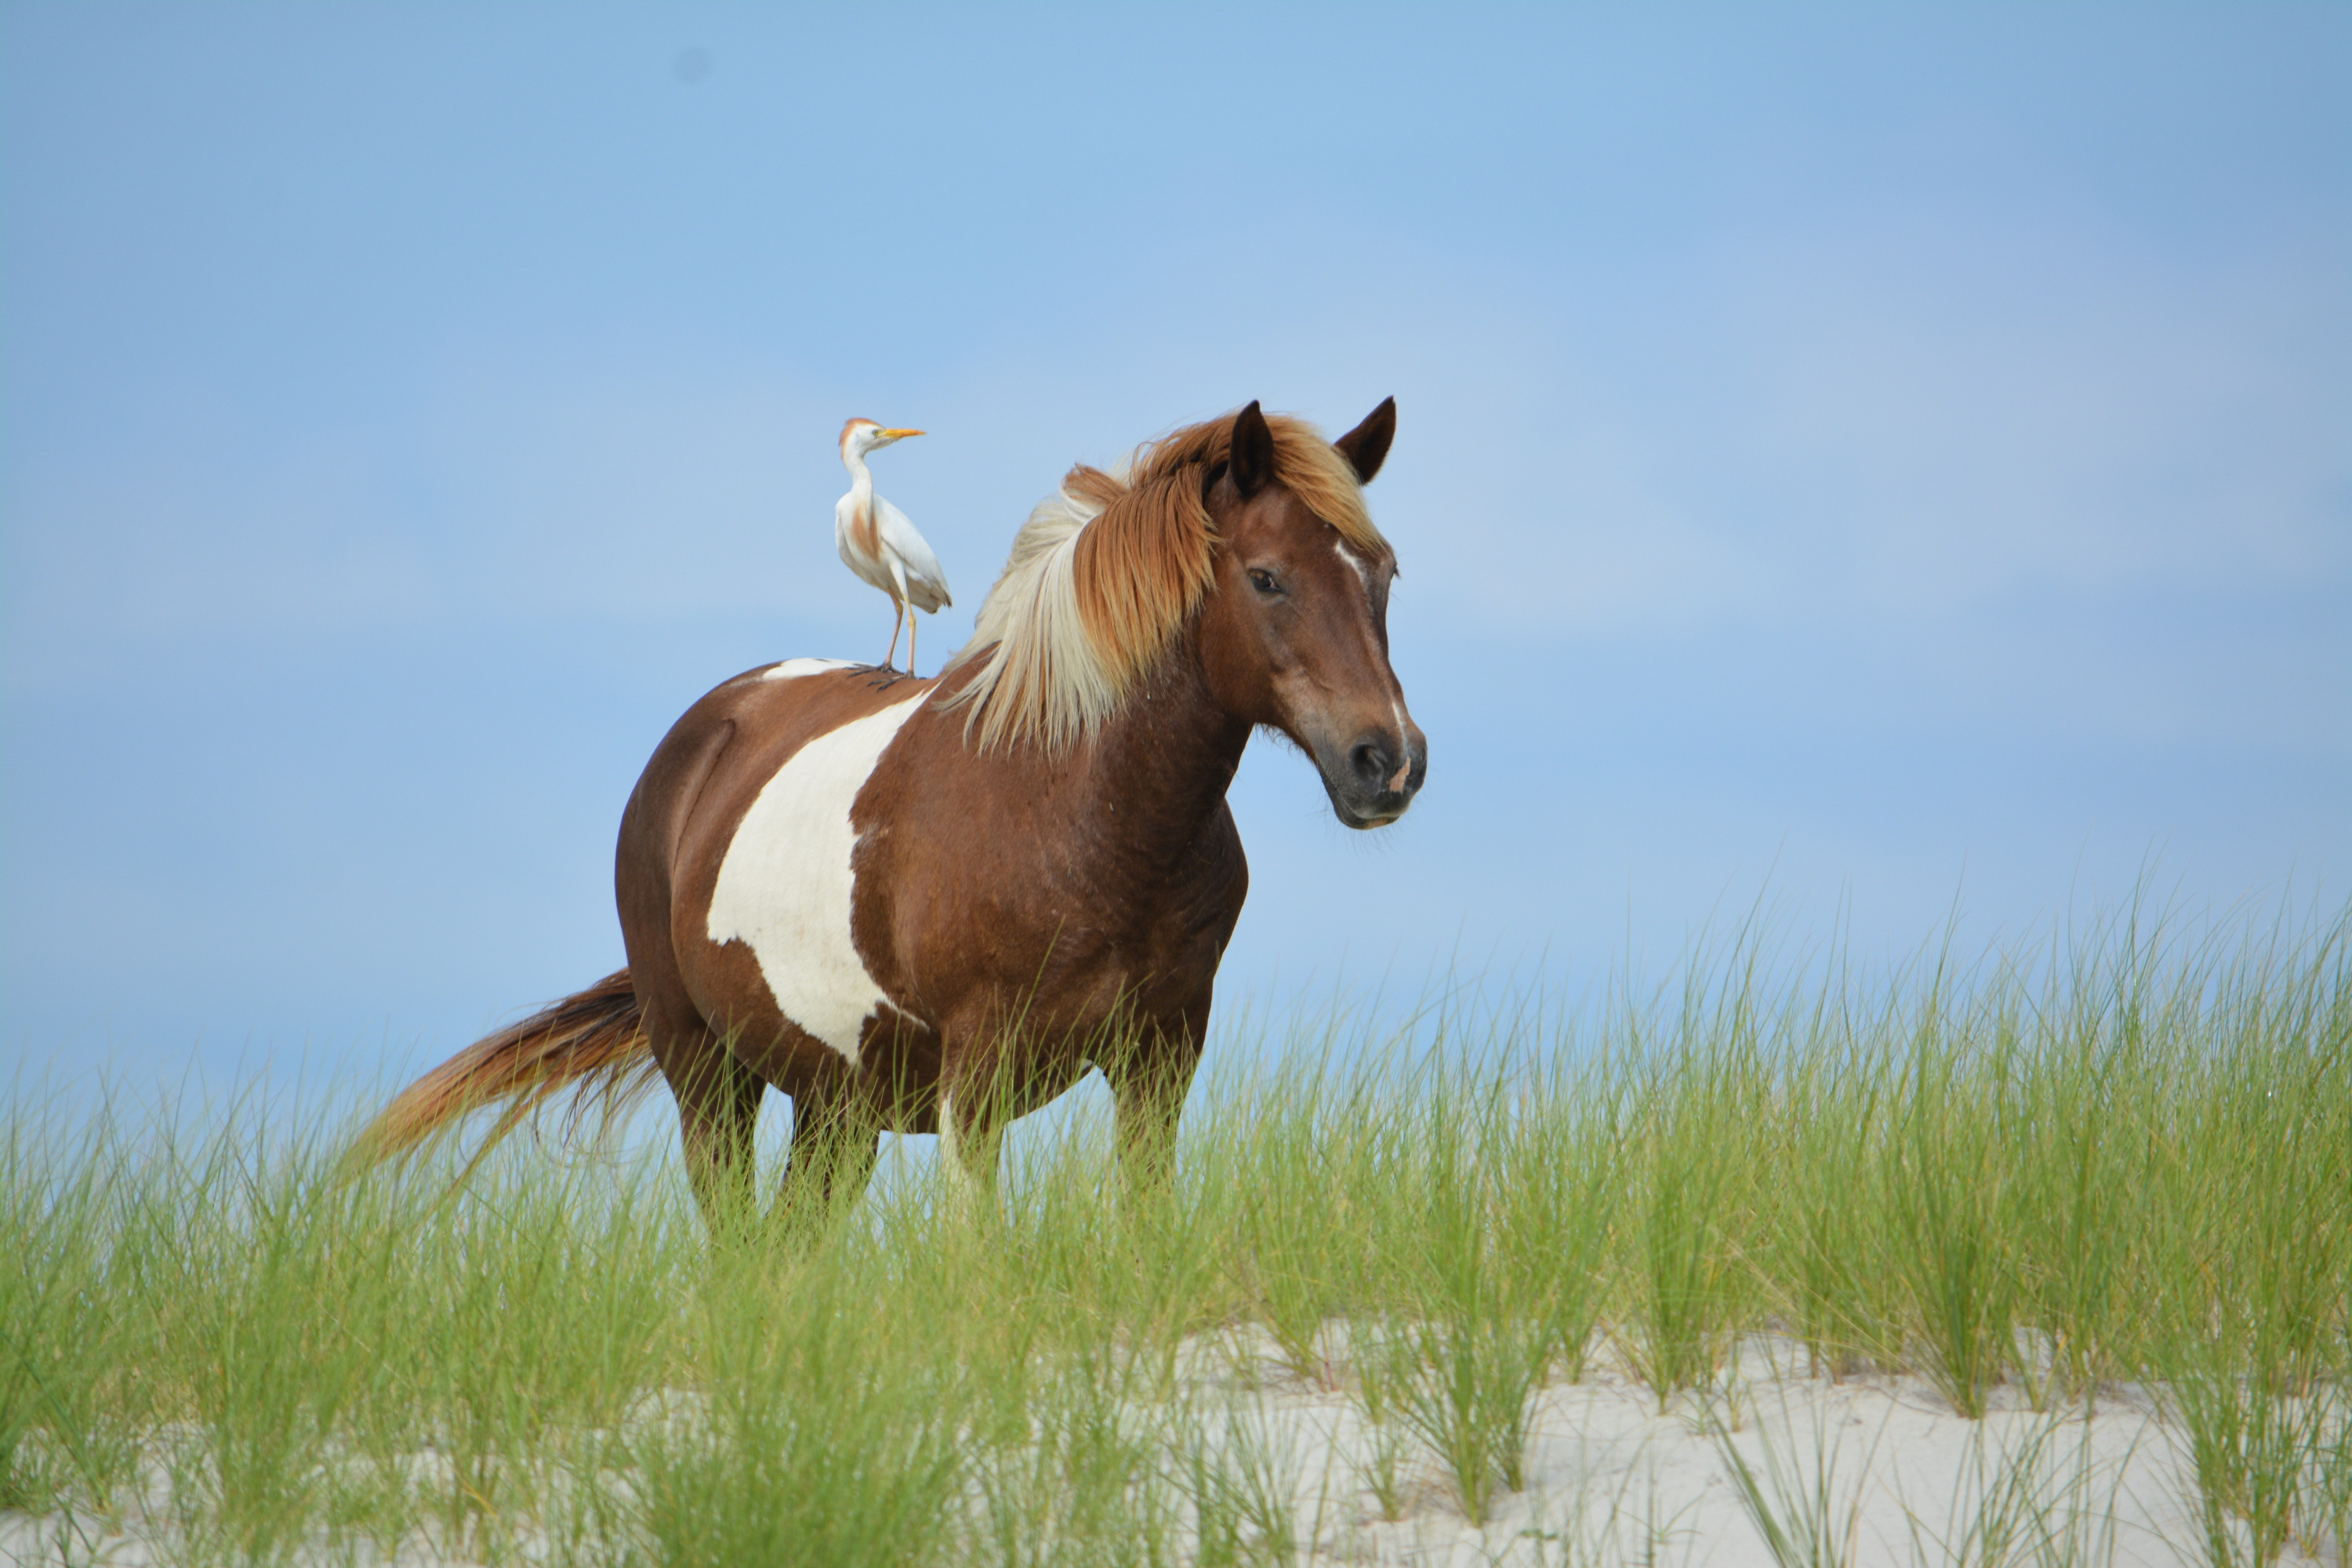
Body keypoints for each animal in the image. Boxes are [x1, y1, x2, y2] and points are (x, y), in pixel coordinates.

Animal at [362, 399, 1430, 1232]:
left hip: (835, 1108)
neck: (1081, 809)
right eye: (1267, 576)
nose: (1387, 763)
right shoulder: (976, 1075)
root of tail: (696, 738)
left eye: (1382, 575)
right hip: (705, 1070)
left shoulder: (1162, 1056)